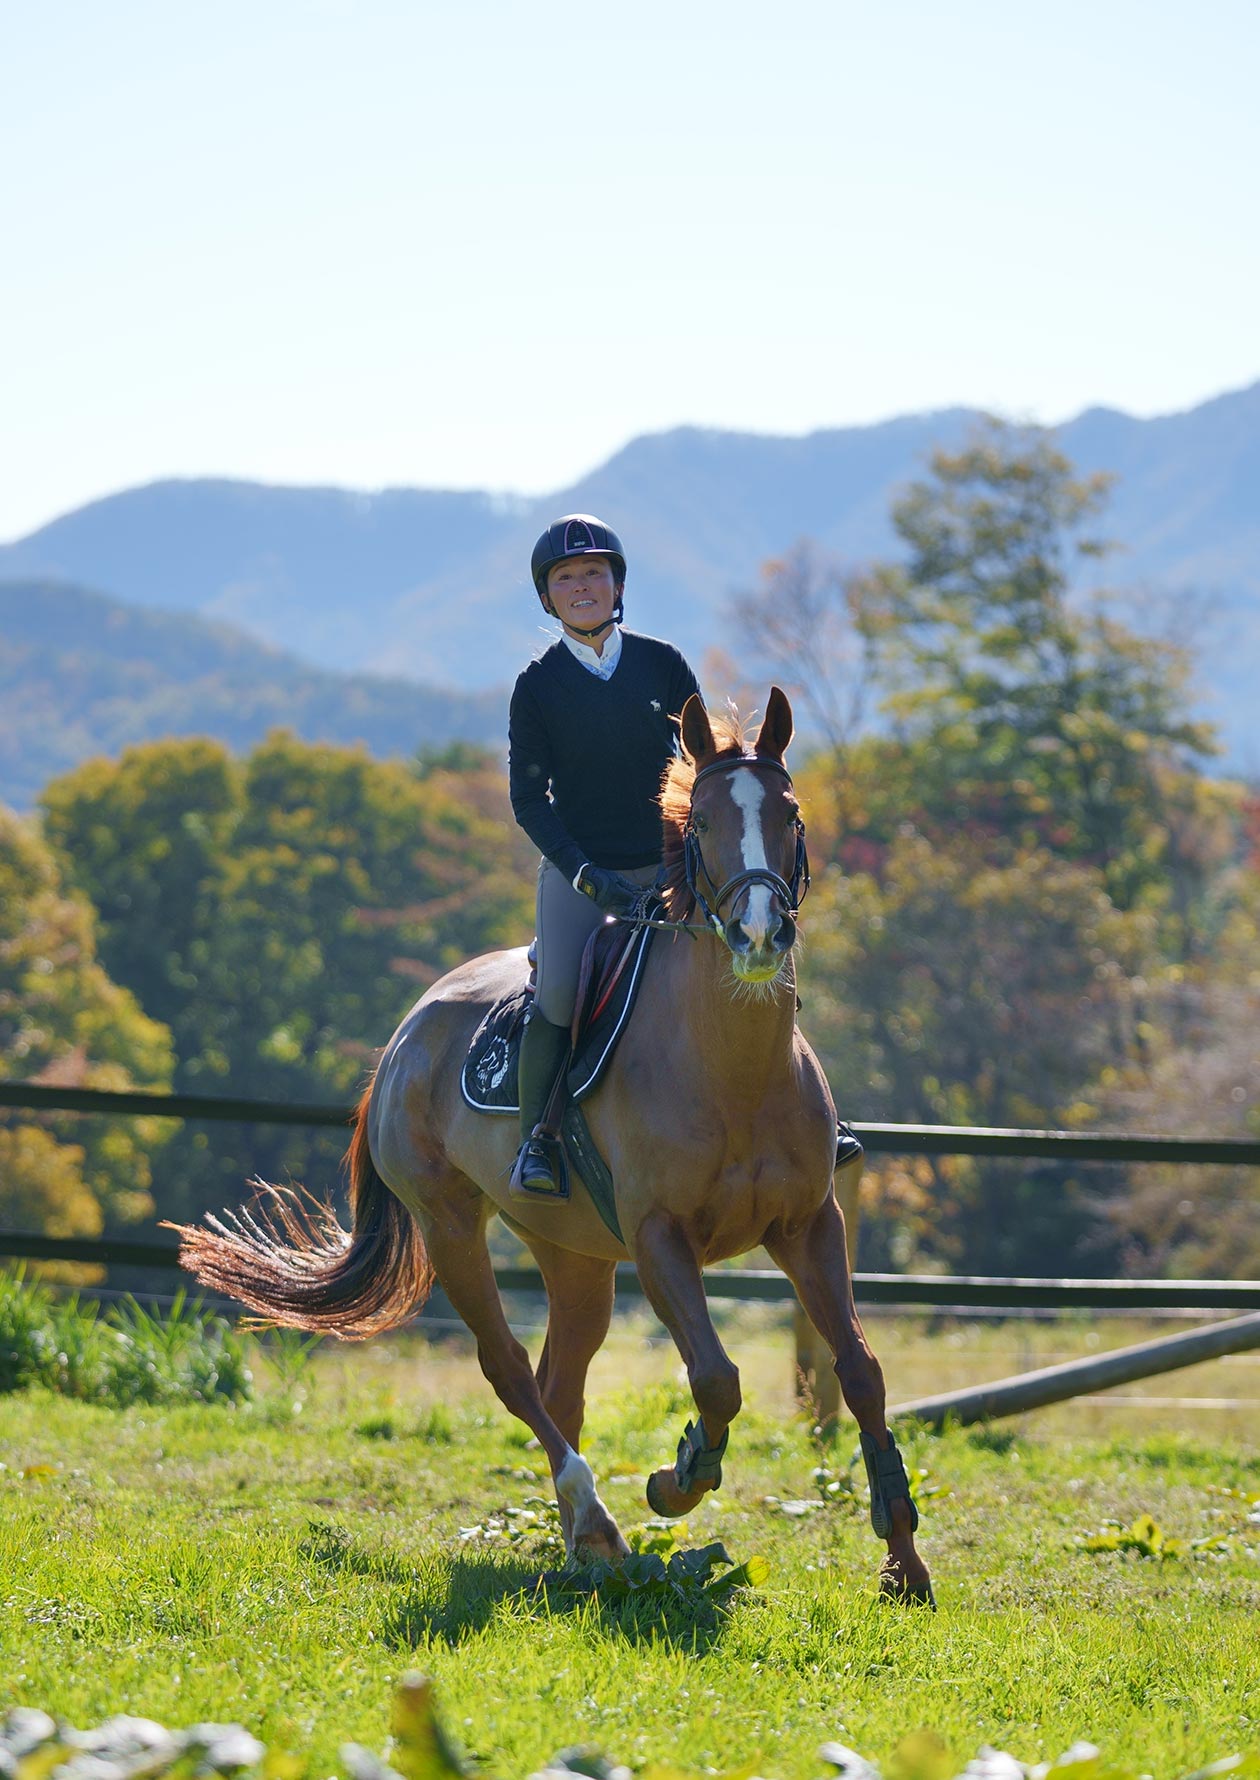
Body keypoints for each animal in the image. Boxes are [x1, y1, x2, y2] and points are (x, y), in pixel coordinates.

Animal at [172, 687, 932, 1609]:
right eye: (702, 821)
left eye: (789, 814)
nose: (757, 937)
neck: (731, 1066)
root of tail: (406, 1034)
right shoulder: (659, 1238)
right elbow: (716, 1377)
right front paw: (677, 1478)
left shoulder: (809, 1225)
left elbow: (860, 1371)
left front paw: (903, 1561)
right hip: (451, 1226)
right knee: (509, 1370)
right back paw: (598, 1523)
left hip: (574, 1256)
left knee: (557, 1383)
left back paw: (582, 1543)